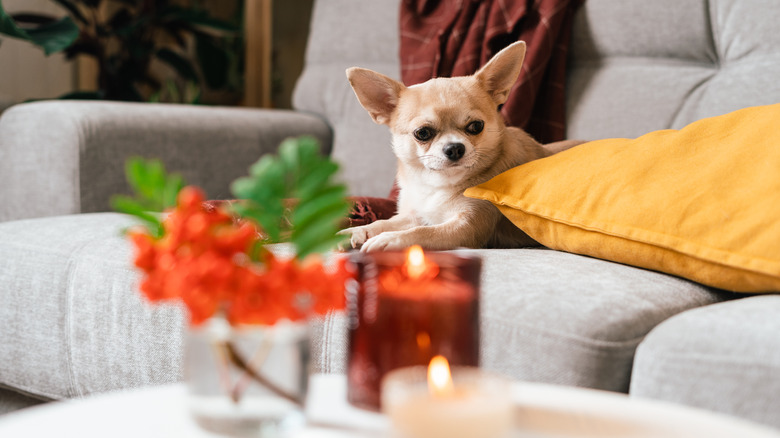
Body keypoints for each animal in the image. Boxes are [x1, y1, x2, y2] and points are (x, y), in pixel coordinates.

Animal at [340, 42, 580, 252]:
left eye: (476, 126)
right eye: (422, 133)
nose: (454, 148)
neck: (438, 184)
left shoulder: (467, 226)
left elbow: (423, 233)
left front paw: (389, 239)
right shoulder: (418, 214)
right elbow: (385, 221)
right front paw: (358, 230)